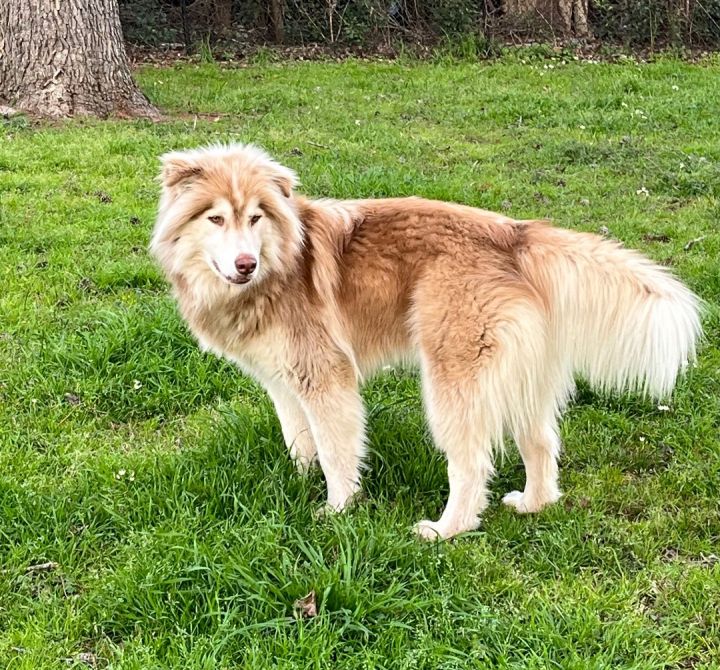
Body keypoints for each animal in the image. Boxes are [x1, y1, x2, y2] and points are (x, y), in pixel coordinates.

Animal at [150, 144, 696, 544]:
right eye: (215, 219)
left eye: (256, 217)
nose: (246, 264)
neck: (279, 266)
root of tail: (515, 236)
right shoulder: (284, 382)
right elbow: (298, 440)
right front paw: (300, 482)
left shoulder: (326, 378)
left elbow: (336, 450)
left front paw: (337, 508)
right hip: (522, 377)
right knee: (540, 443)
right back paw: (533, 504)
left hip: (454, 380)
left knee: (471, 464)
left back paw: (446, 530)